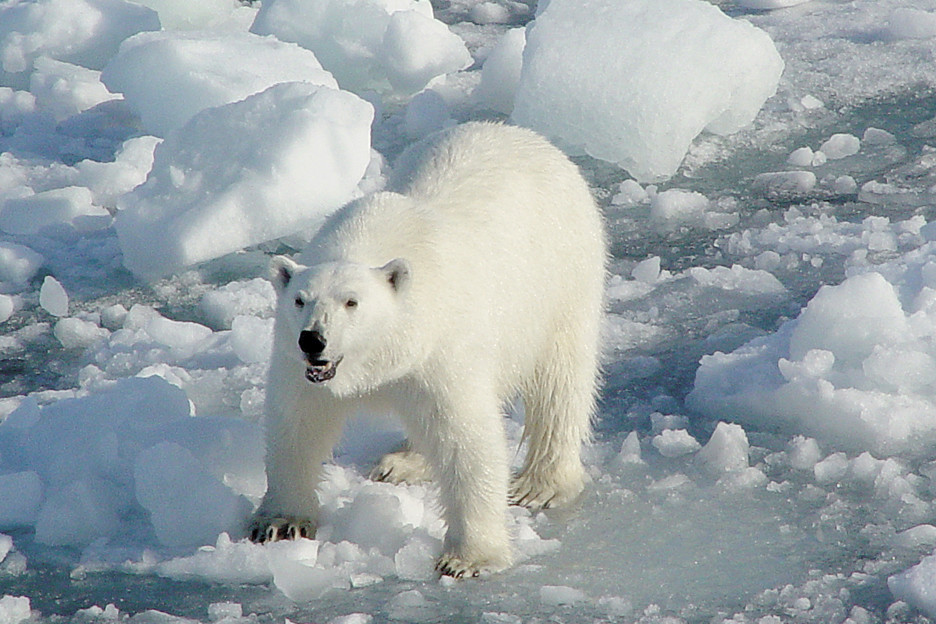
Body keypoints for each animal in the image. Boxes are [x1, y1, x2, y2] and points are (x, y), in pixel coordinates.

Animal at [249, 122, 608, 580]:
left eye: (352, 302)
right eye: (300, 300)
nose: (313, 340)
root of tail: (528, 136)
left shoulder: (442, 347)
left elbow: (465, 438)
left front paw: (468, 558)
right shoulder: (298, 366)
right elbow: (297, 423)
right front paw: (281, 522)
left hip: (563, 276)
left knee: (560, 380)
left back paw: (539, 485)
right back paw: (401, 462)